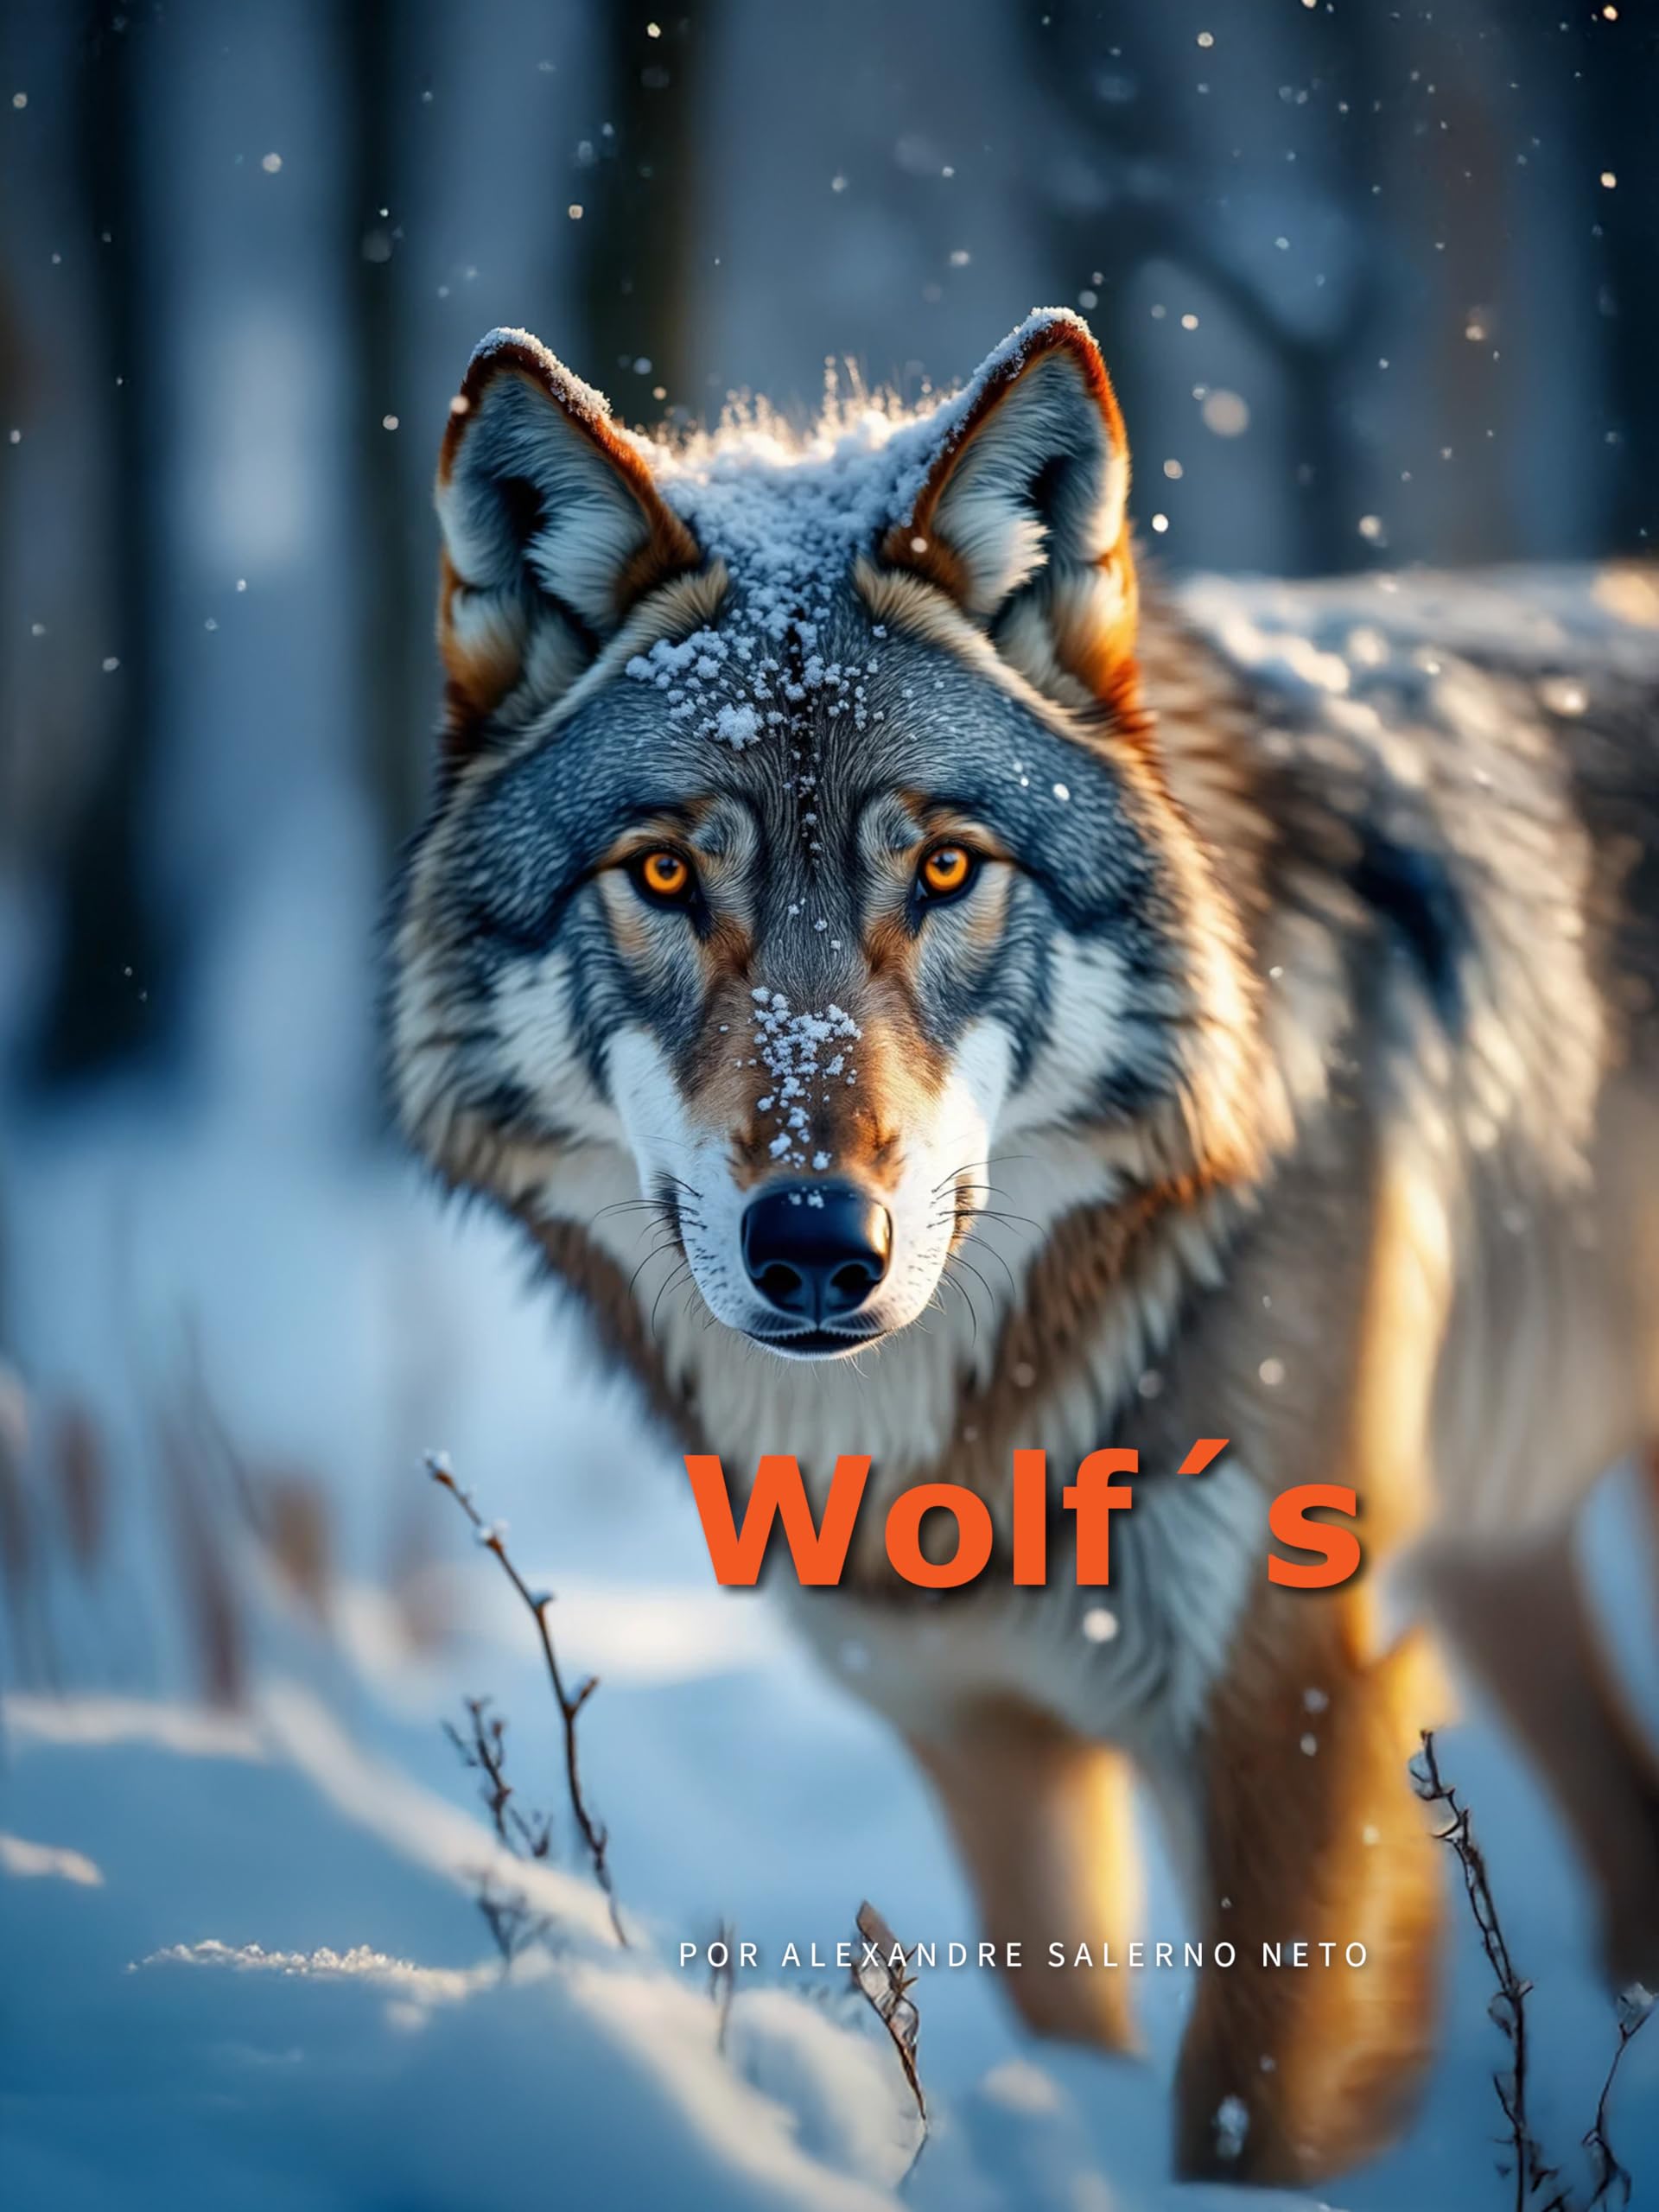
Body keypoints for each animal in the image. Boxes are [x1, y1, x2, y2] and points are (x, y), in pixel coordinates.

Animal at [387, 309, 1659, 2186]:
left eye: (944, 866)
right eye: (669, 875)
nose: (818, 1245)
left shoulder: (1290, 1709)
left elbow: (1239, 2106)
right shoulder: (983, 1738)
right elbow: (1080, 2037)